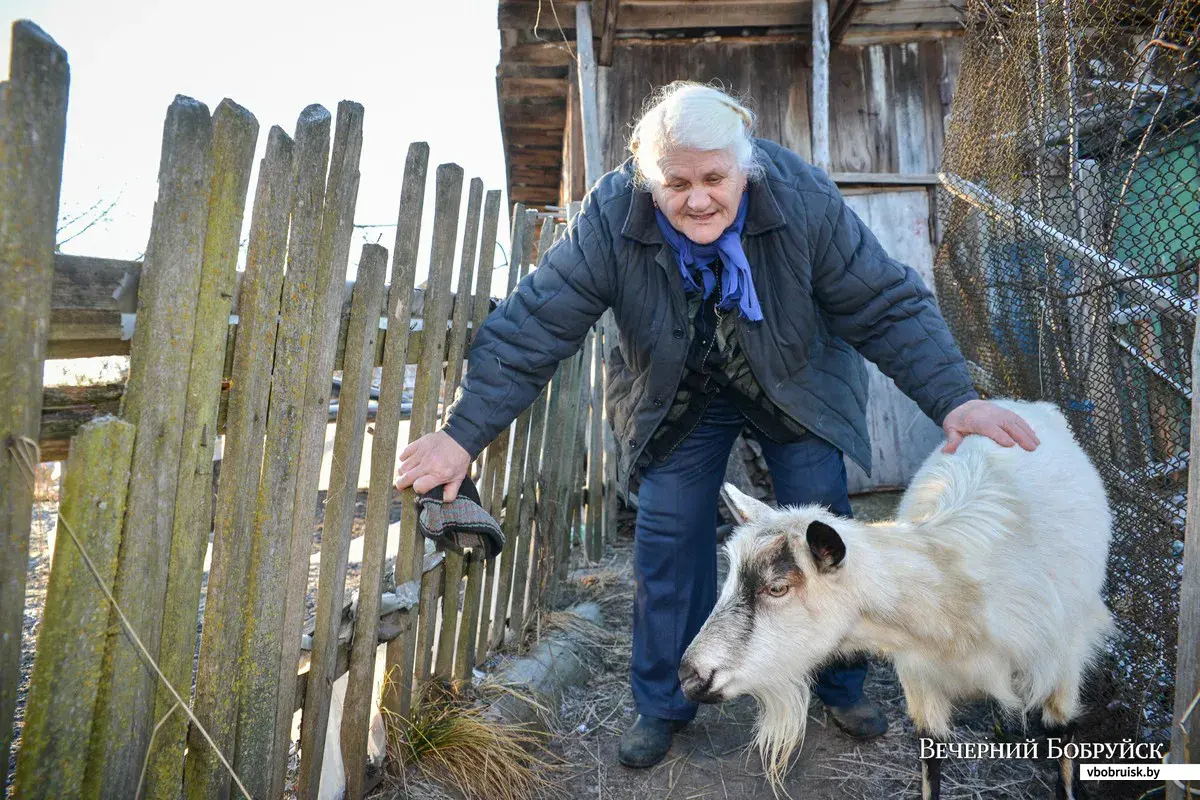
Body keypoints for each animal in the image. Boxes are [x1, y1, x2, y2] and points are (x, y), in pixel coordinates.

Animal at [681, 400, 1118, 800]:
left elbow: (1062, 743)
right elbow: (931, 759)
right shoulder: (921, 675)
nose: (689, 677)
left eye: (777, 588)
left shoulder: (1064, 662)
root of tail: (1020, 403)